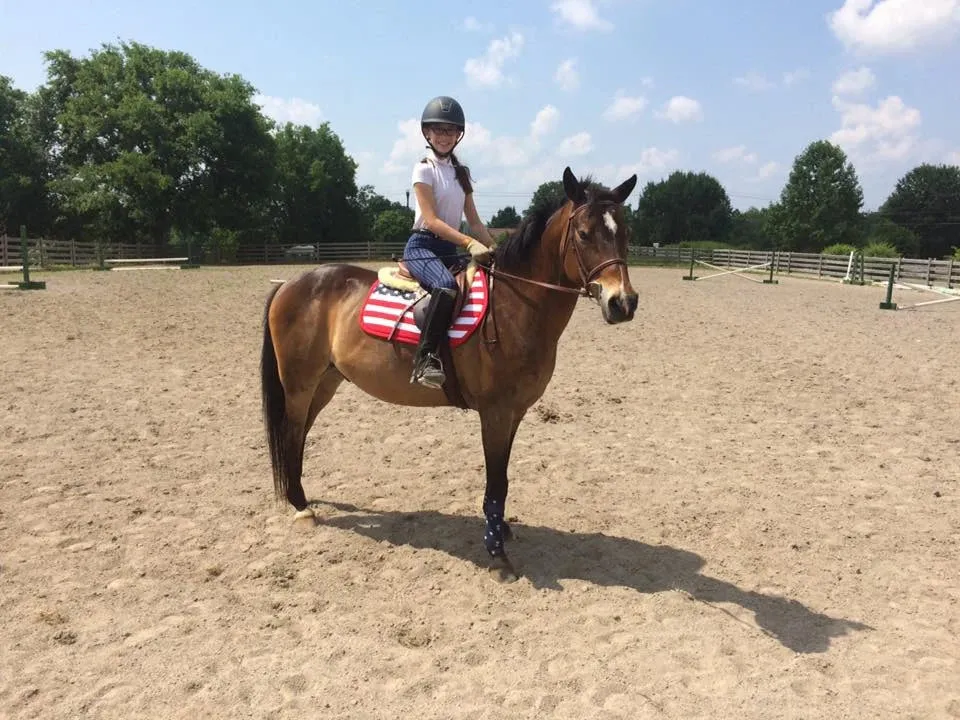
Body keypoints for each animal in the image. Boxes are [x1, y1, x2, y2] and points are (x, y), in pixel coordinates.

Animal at [258, 166, 640, 584]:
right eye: (584, 233)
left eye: (624, 231)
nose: (623, 303)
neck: (514, 304)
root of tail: (290, 284)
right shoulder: (495, 412)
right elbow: (495, 480)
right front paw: (497, 554)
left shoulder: (515, 413)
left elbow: (503, 476)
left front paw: (500, 529)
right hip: (300, 383)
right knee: (292, 432)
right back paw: (300, 507)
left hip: (326, 381)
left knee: (300, 434)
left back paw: (301, 496)